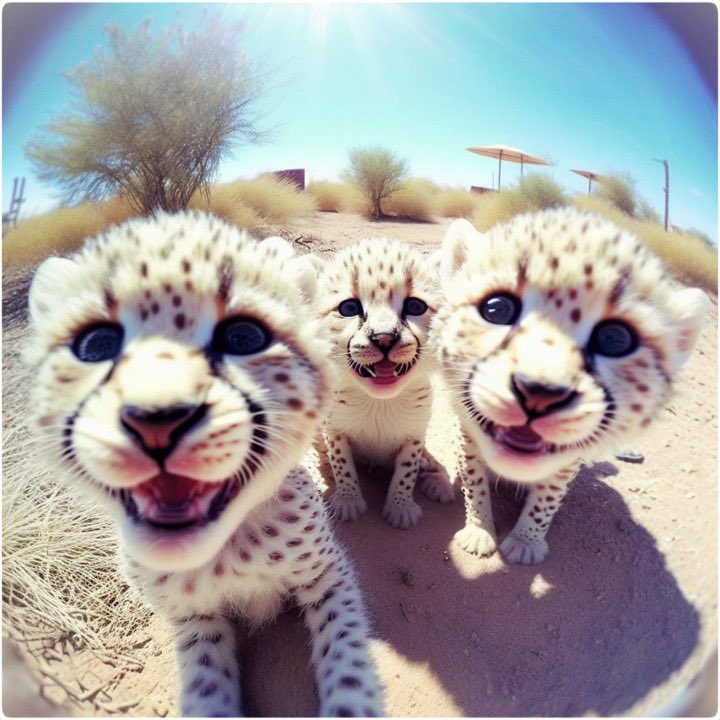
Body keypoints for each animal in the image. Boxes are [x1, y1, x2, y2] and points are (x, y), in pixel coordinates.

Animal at [25, 210, 384, 717]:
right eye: (96, 345)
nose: (157, 419)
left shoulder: (328, 575)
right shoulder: (195, 619)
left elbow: (348, 661)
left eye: (244, 337)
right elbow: (207, 685)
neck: (223, 547)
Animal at [315, 238, 454, 529]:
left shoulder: (416, 434)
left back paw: (438, 482)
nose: (384, 338)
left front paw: (400, 506)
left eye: (415, 307)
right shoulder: (334, 430)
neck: (379, 402)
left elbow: (407, 470)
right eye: (348, 308)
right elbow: (341, 463)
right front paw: (348, 498)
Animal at [432, 208, 708, 565]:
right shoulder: (466, 432)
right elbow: (474, 478)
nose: (538, 393)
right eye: (496, 308)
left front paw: (527, 539)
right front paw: (480, 528)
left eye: (615, 339)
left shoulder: (567, 462)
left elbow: (547, 498)